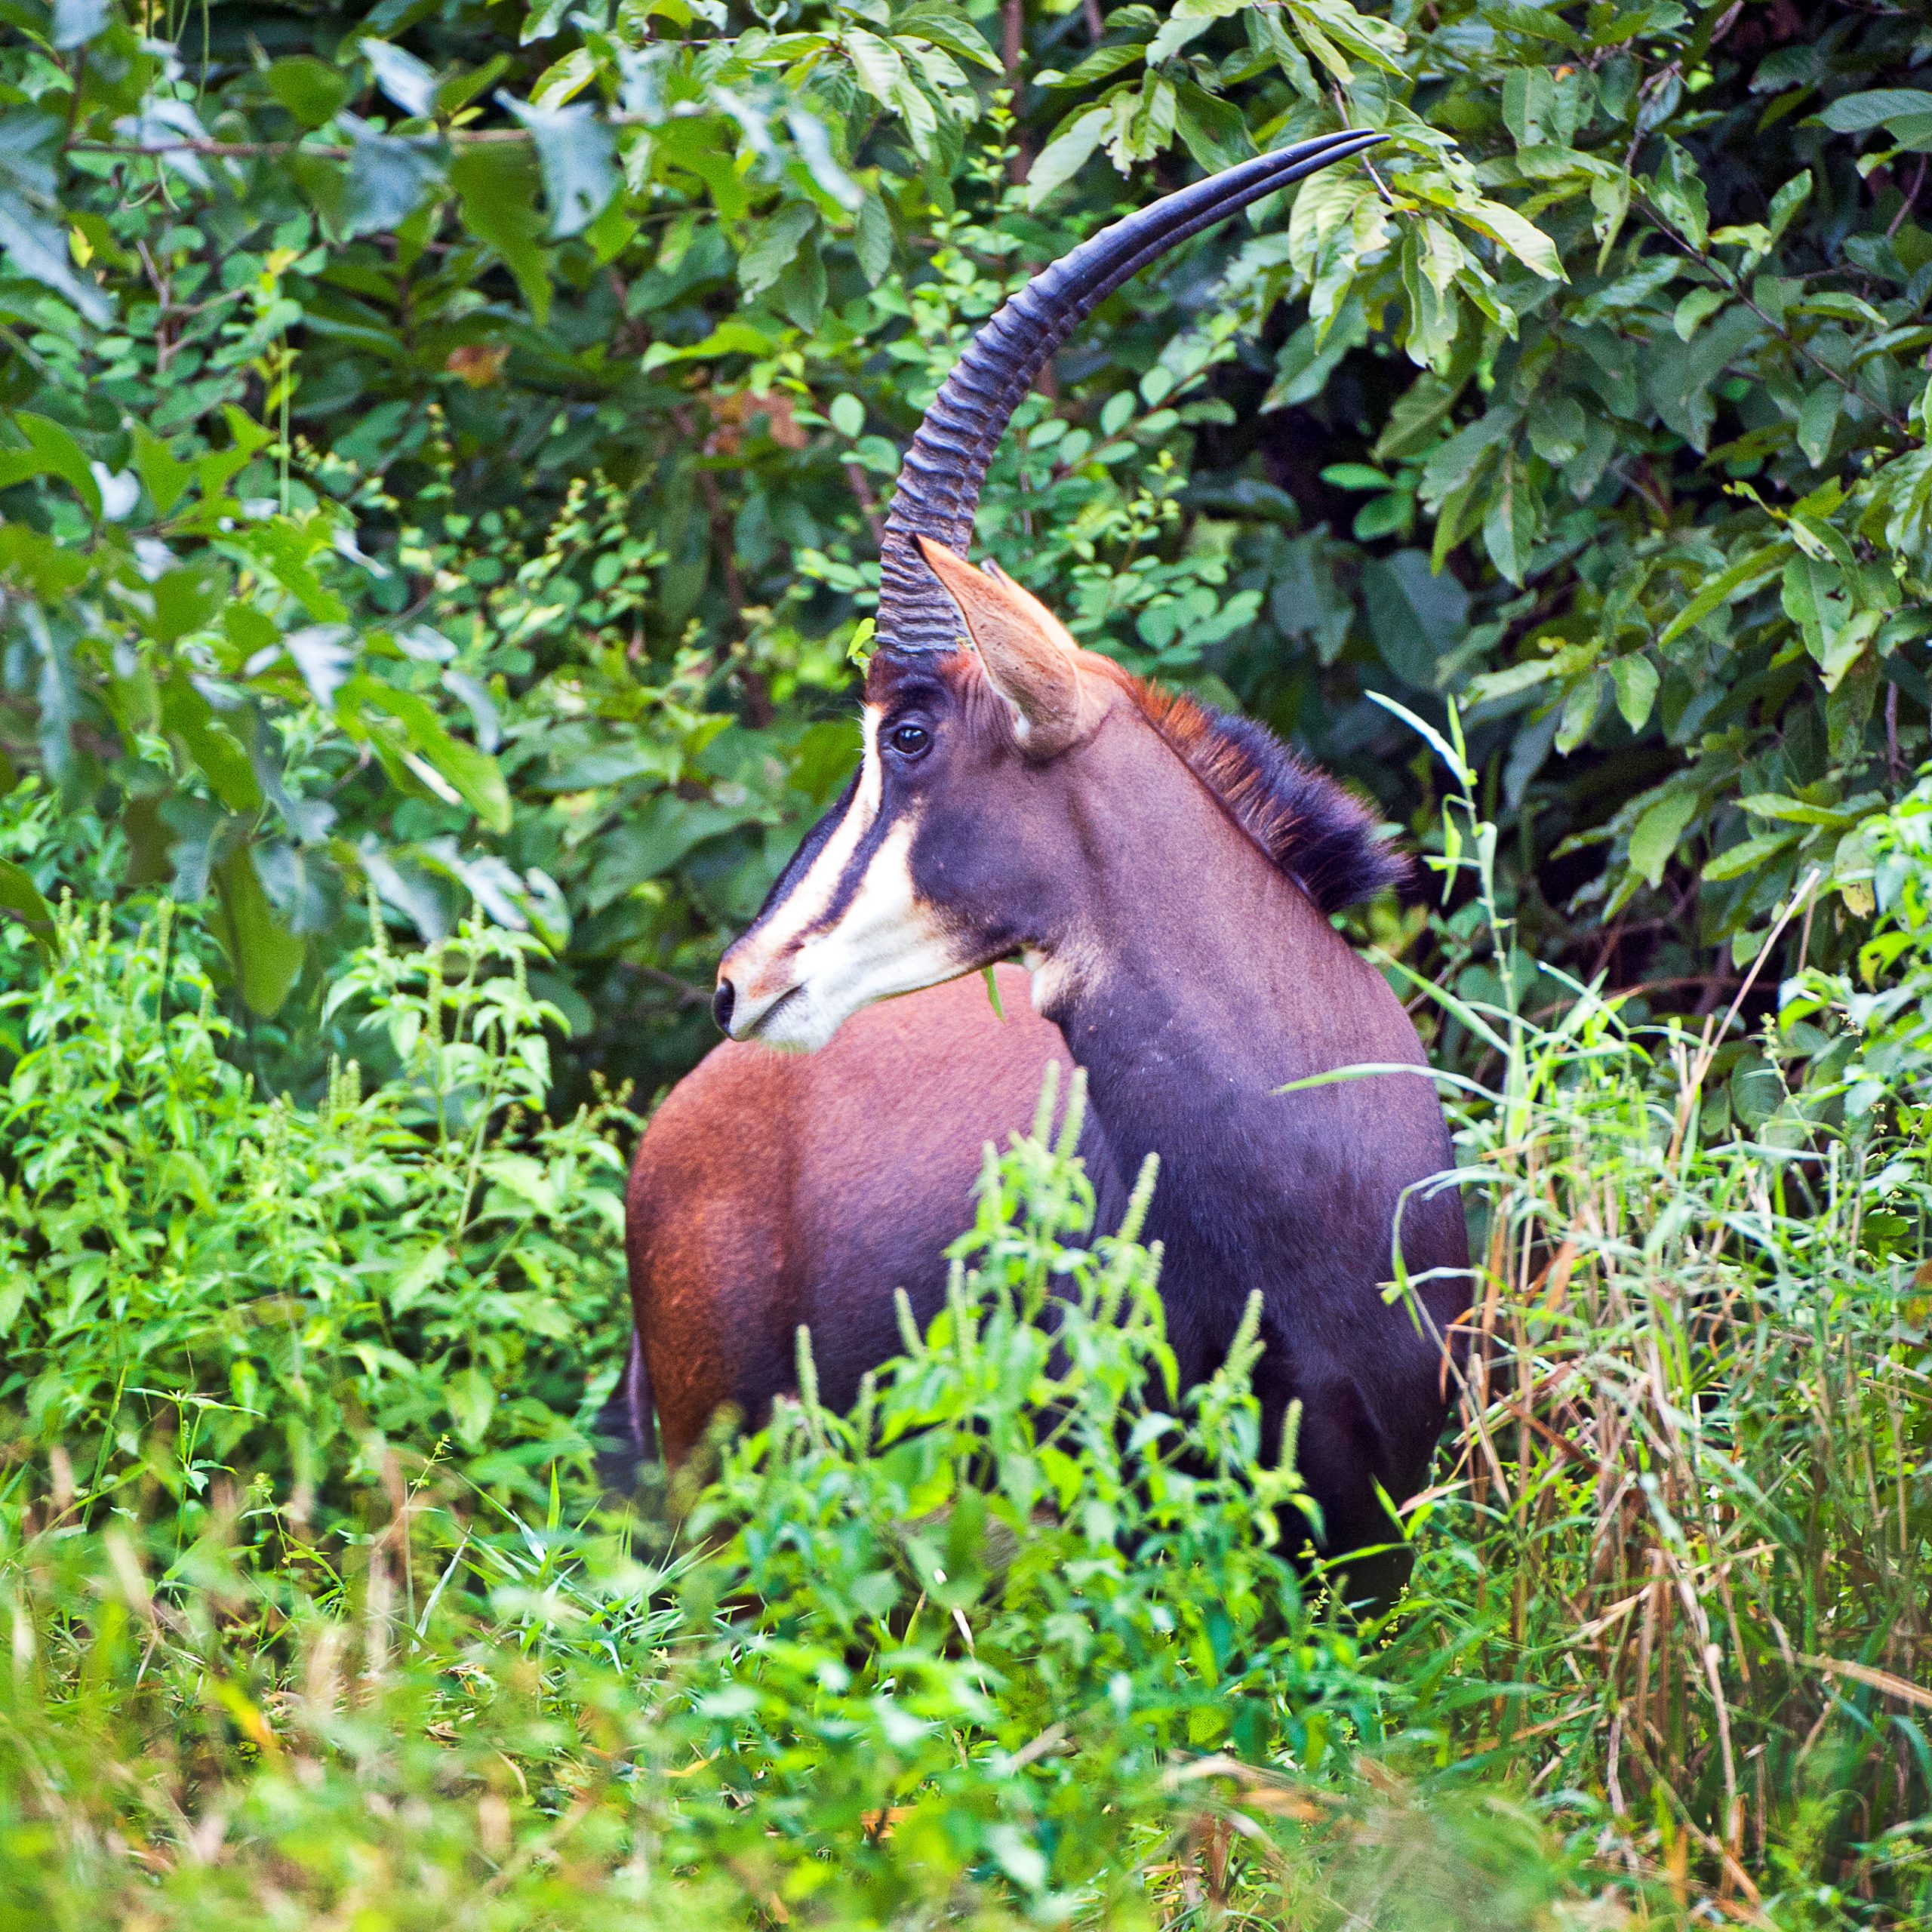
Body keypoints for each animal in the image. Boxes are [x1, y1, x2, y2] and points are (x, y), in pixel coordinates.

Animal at [605, 136, 1469, 1593]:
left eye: (906, 732)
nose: (742, 981)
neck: (1314, 1197)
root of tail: (680, 1124)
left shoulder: (1385, 1536)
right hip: (720, 1506)